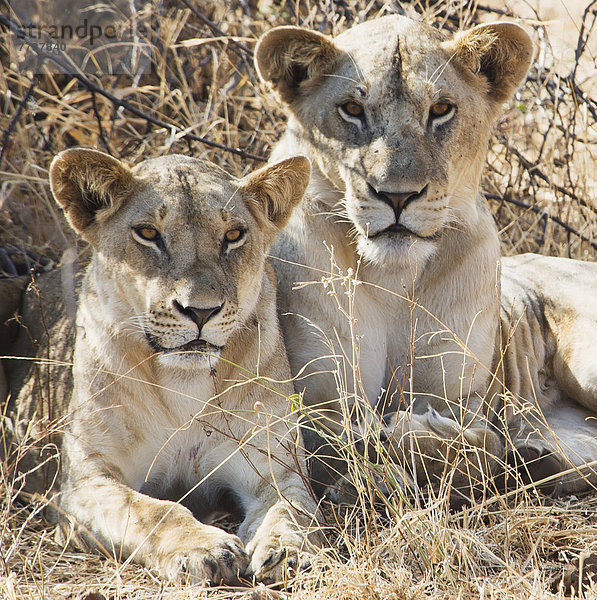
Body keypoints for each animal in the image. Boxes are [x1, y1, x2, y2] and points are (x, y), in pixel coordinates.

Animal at [2, 149, 318, 584]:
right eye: (149, 233)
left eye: (234, 235)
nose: (201, 311)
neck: (183, 382)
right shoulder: (85, 482)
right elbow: (155, 510)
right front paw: (205, 548)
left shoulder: (275, 469)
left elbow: (292, 509)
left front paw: (288, 549)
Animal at [254, 16, 596, 500]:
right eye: (352, 109)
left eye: (441, 109)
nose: (397, 196)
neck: (394, 279)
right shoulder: (315, 395)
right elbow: (332, 441)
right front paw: (376, 461)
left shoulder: (459, 399)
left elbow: (483, 450)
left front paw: (402, 436)